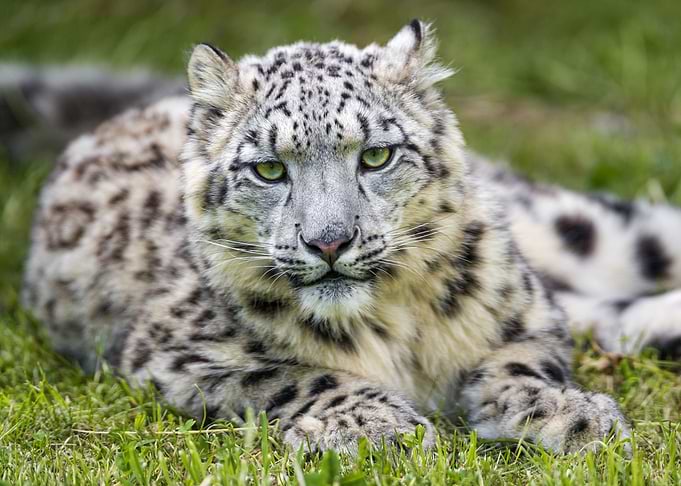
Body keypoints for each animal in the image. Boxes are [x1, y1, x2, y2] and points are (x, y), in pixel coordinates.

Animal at [20, 20, 681, 455]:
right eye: (268, 169)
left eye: (377, 155)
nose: (330, 242)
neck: (395, 326)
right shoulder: (181, 351)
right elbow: (293, 373)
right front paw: (377, 427)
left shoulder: (525, 310)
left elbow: (521, 359)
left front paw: (570, 415)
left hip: (579, 229)